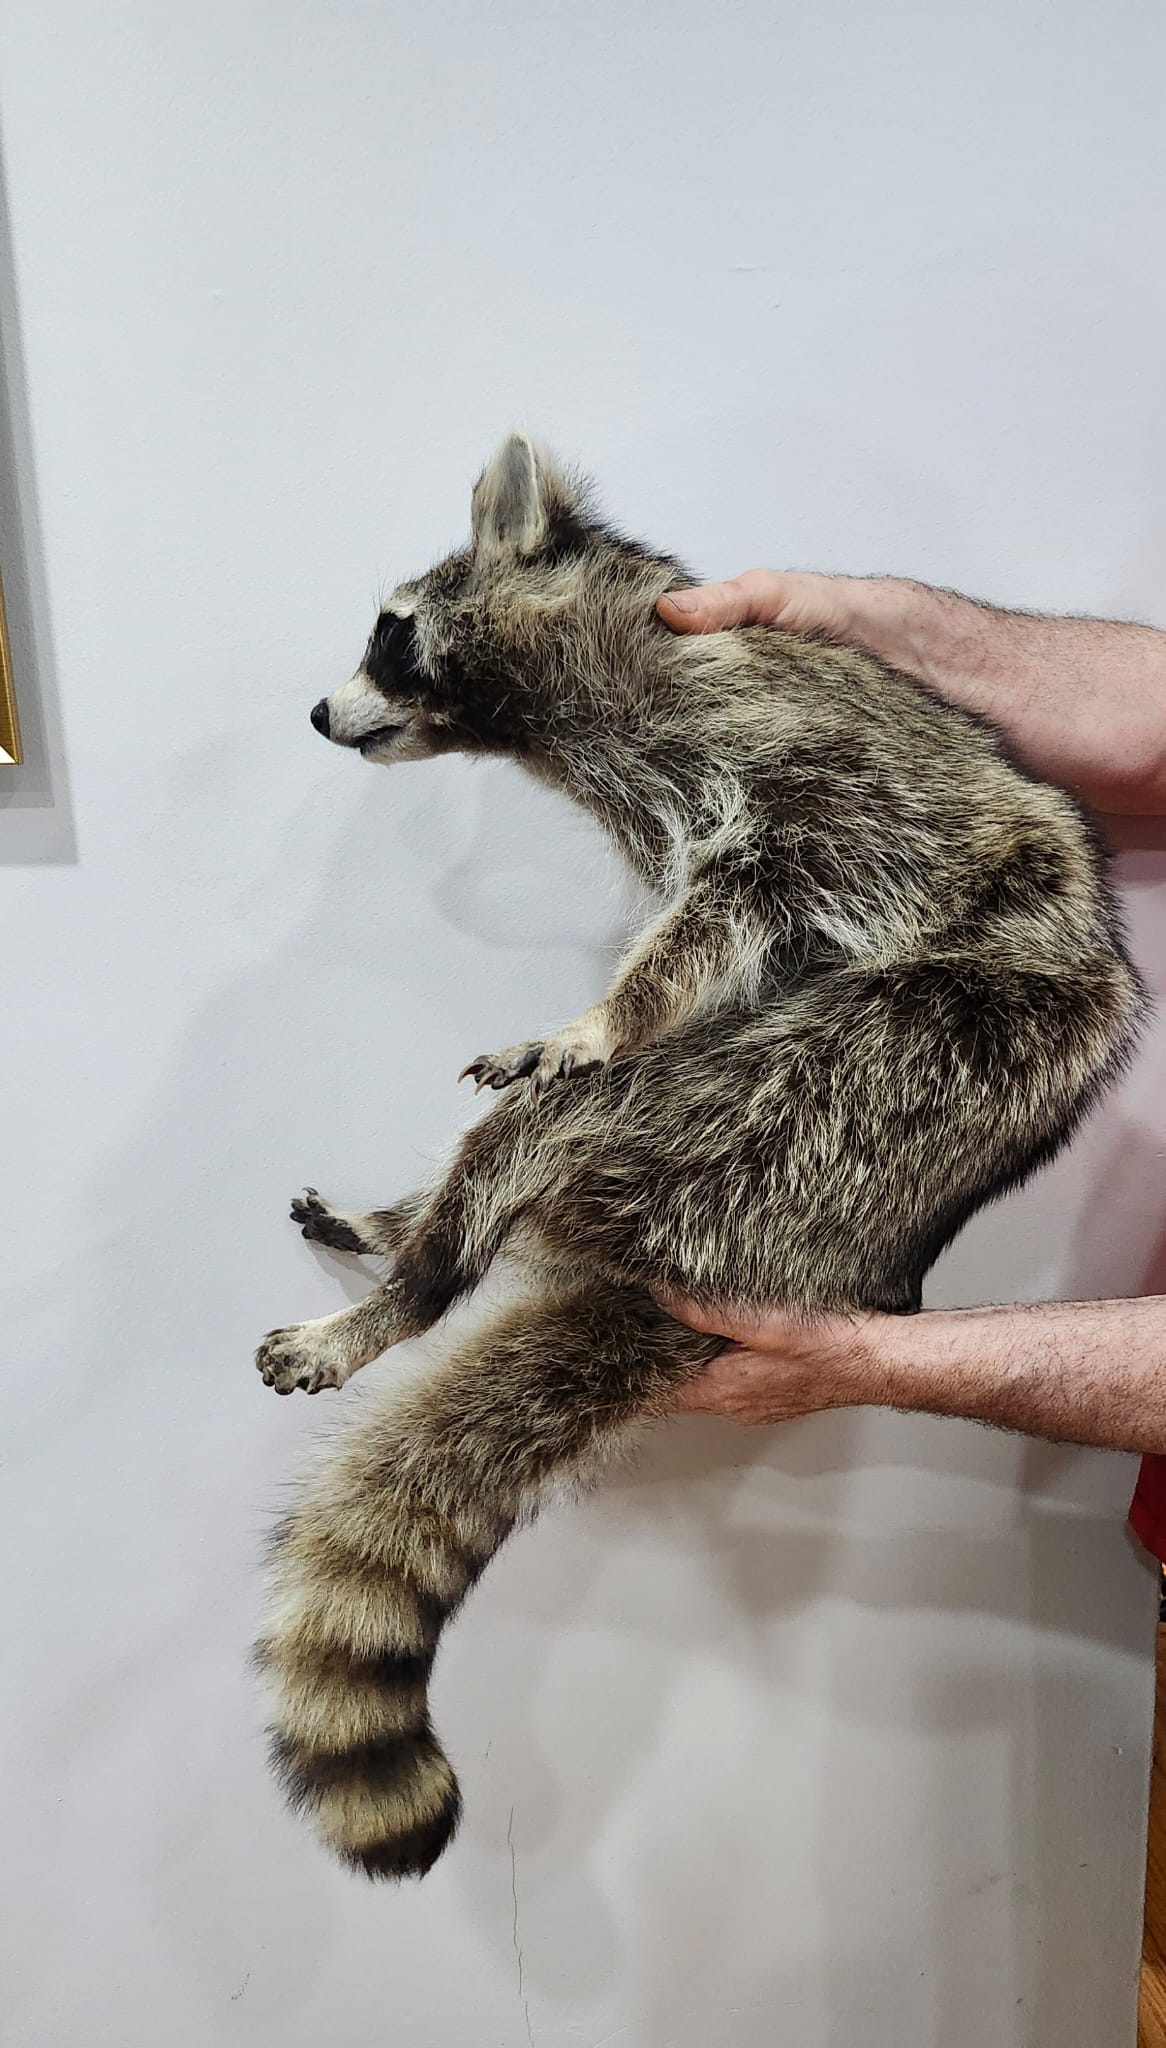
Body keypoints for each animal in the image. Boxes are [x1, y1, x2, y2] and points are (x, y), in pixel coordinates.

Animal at [255, 434, 1143, 1880]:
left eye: (388, 633)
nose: (320, 717)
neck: (586, 691)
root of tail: (839, 1262)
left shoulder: (800, 775)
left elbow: (717, 927)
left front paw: (599, 1018)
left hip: (881, 1080)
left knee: (580, 1116)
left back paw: (412, 1280)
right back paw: (403, 1223)